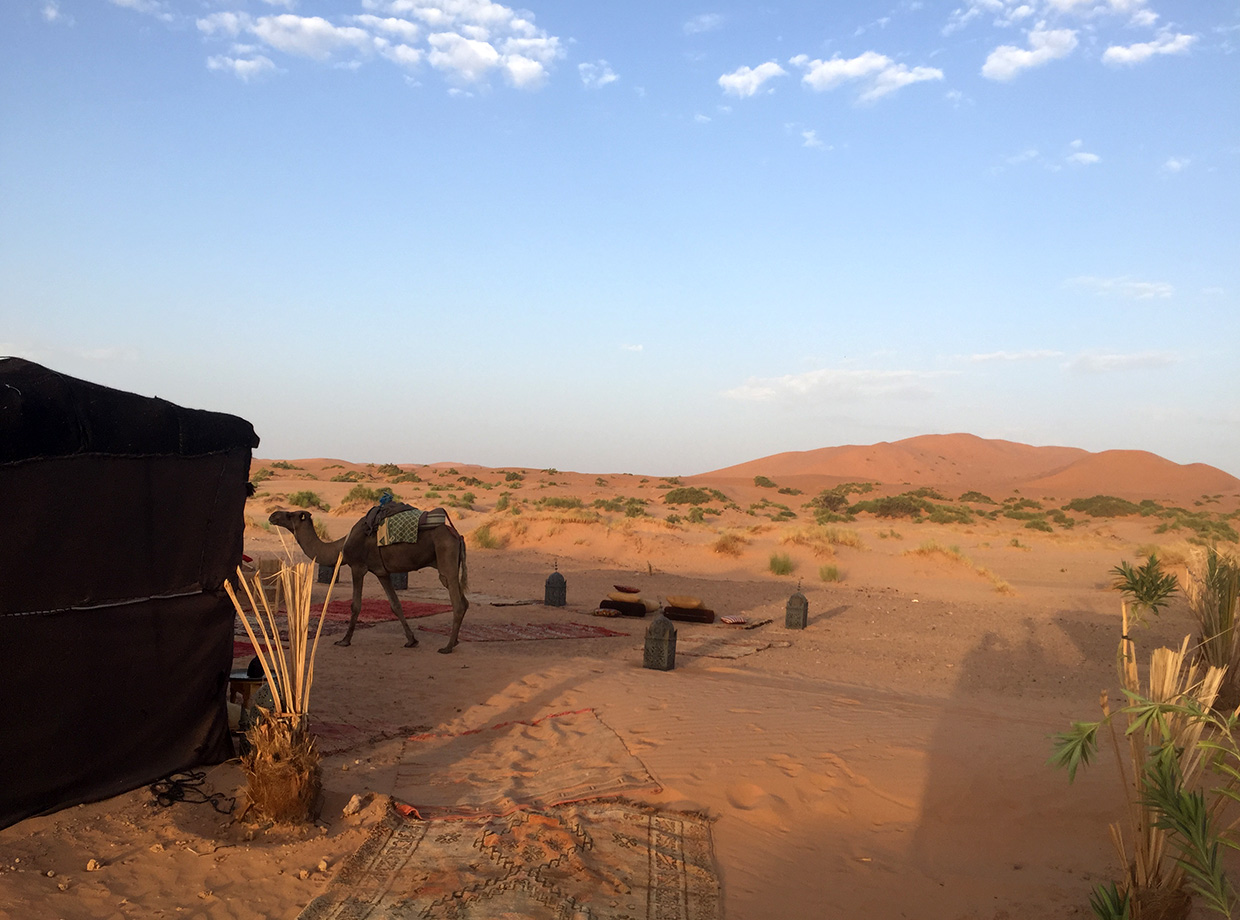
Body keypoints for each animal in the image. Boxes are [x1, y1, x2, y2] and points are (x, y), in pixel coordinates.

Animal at [267, 508, 468, 654]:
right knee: (464, 602)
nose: (273, 515)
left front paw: (344, 640)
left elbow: (356, 605)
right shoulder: (382, 572)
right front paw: (411, 640)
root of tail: (457, 535)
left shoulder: (357, 566)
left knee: (457, 602)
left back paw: (447, 647)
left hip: (446, 558)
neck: (341, 545)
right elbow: (396, 605)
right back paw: (456, 641)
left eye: (289, 514)